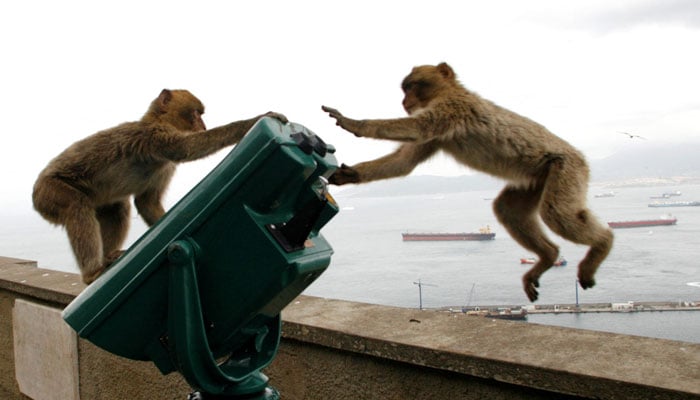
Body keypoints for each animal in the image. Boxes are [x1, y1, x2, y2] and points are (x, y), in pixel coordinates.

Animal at [33, 89, 287, 284]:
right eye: (196, 113)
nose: (204, 125)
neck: (157, 121)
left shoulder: (165, 165)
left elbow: (147, 202)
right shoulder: (154, 136)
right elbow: (187, 148)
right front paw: (252, 122)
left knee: (118, 208)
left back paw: (108, 257)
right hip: (49, 191)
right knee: (77, 206)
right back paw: (92, 272)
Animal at [322, 62, 613, 302]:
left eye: (413, 85)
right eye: (405, 88)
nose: (405, 100)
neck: (447, 93)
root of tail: (581, 158)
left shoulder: (453, 107)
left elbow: (420, 128)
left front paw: (353, 123)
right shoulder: (441, 130)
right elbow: (405, 162)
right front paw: (349, 174)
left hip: (565, 168)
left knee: (556, 213)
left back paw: (603, 243)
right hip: (535, 179)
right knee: (507, 209)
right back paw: (549, 256)